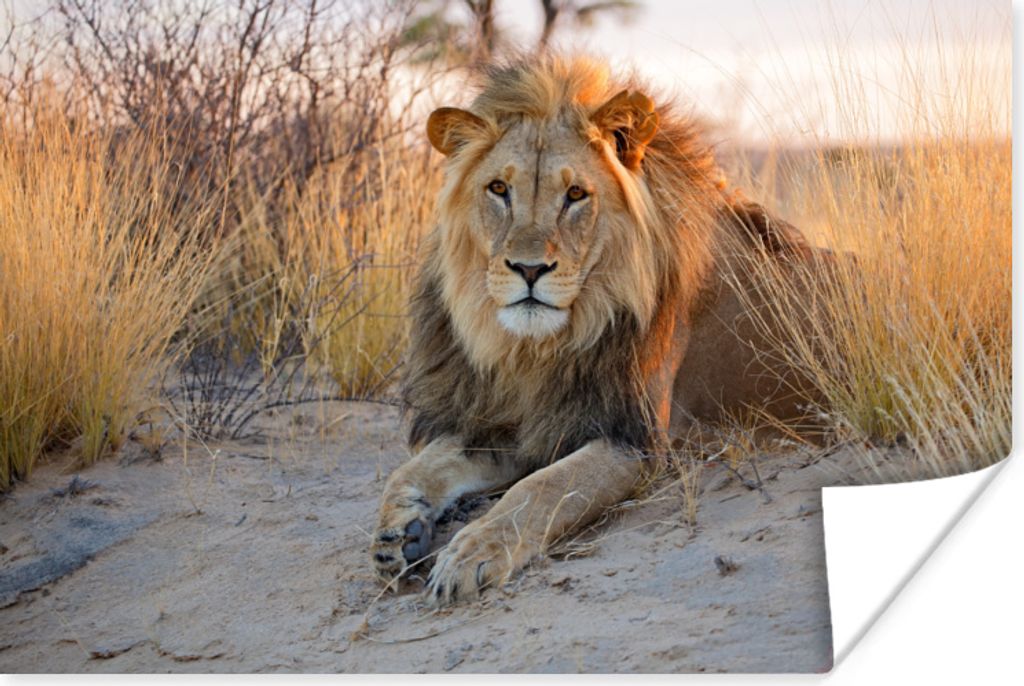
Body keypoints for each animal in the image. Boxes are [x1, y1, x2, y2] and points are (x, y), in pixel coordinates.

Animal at [371, 55, 828, 604]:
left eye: (575, 195)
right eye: (499, 190)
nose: (528, 269)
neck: (538, 350)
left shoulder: (635, 440)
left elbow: (540, 489)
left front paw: (471, 553)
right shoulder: (519, 422)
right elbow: (416, 467)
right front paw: (398, 532)